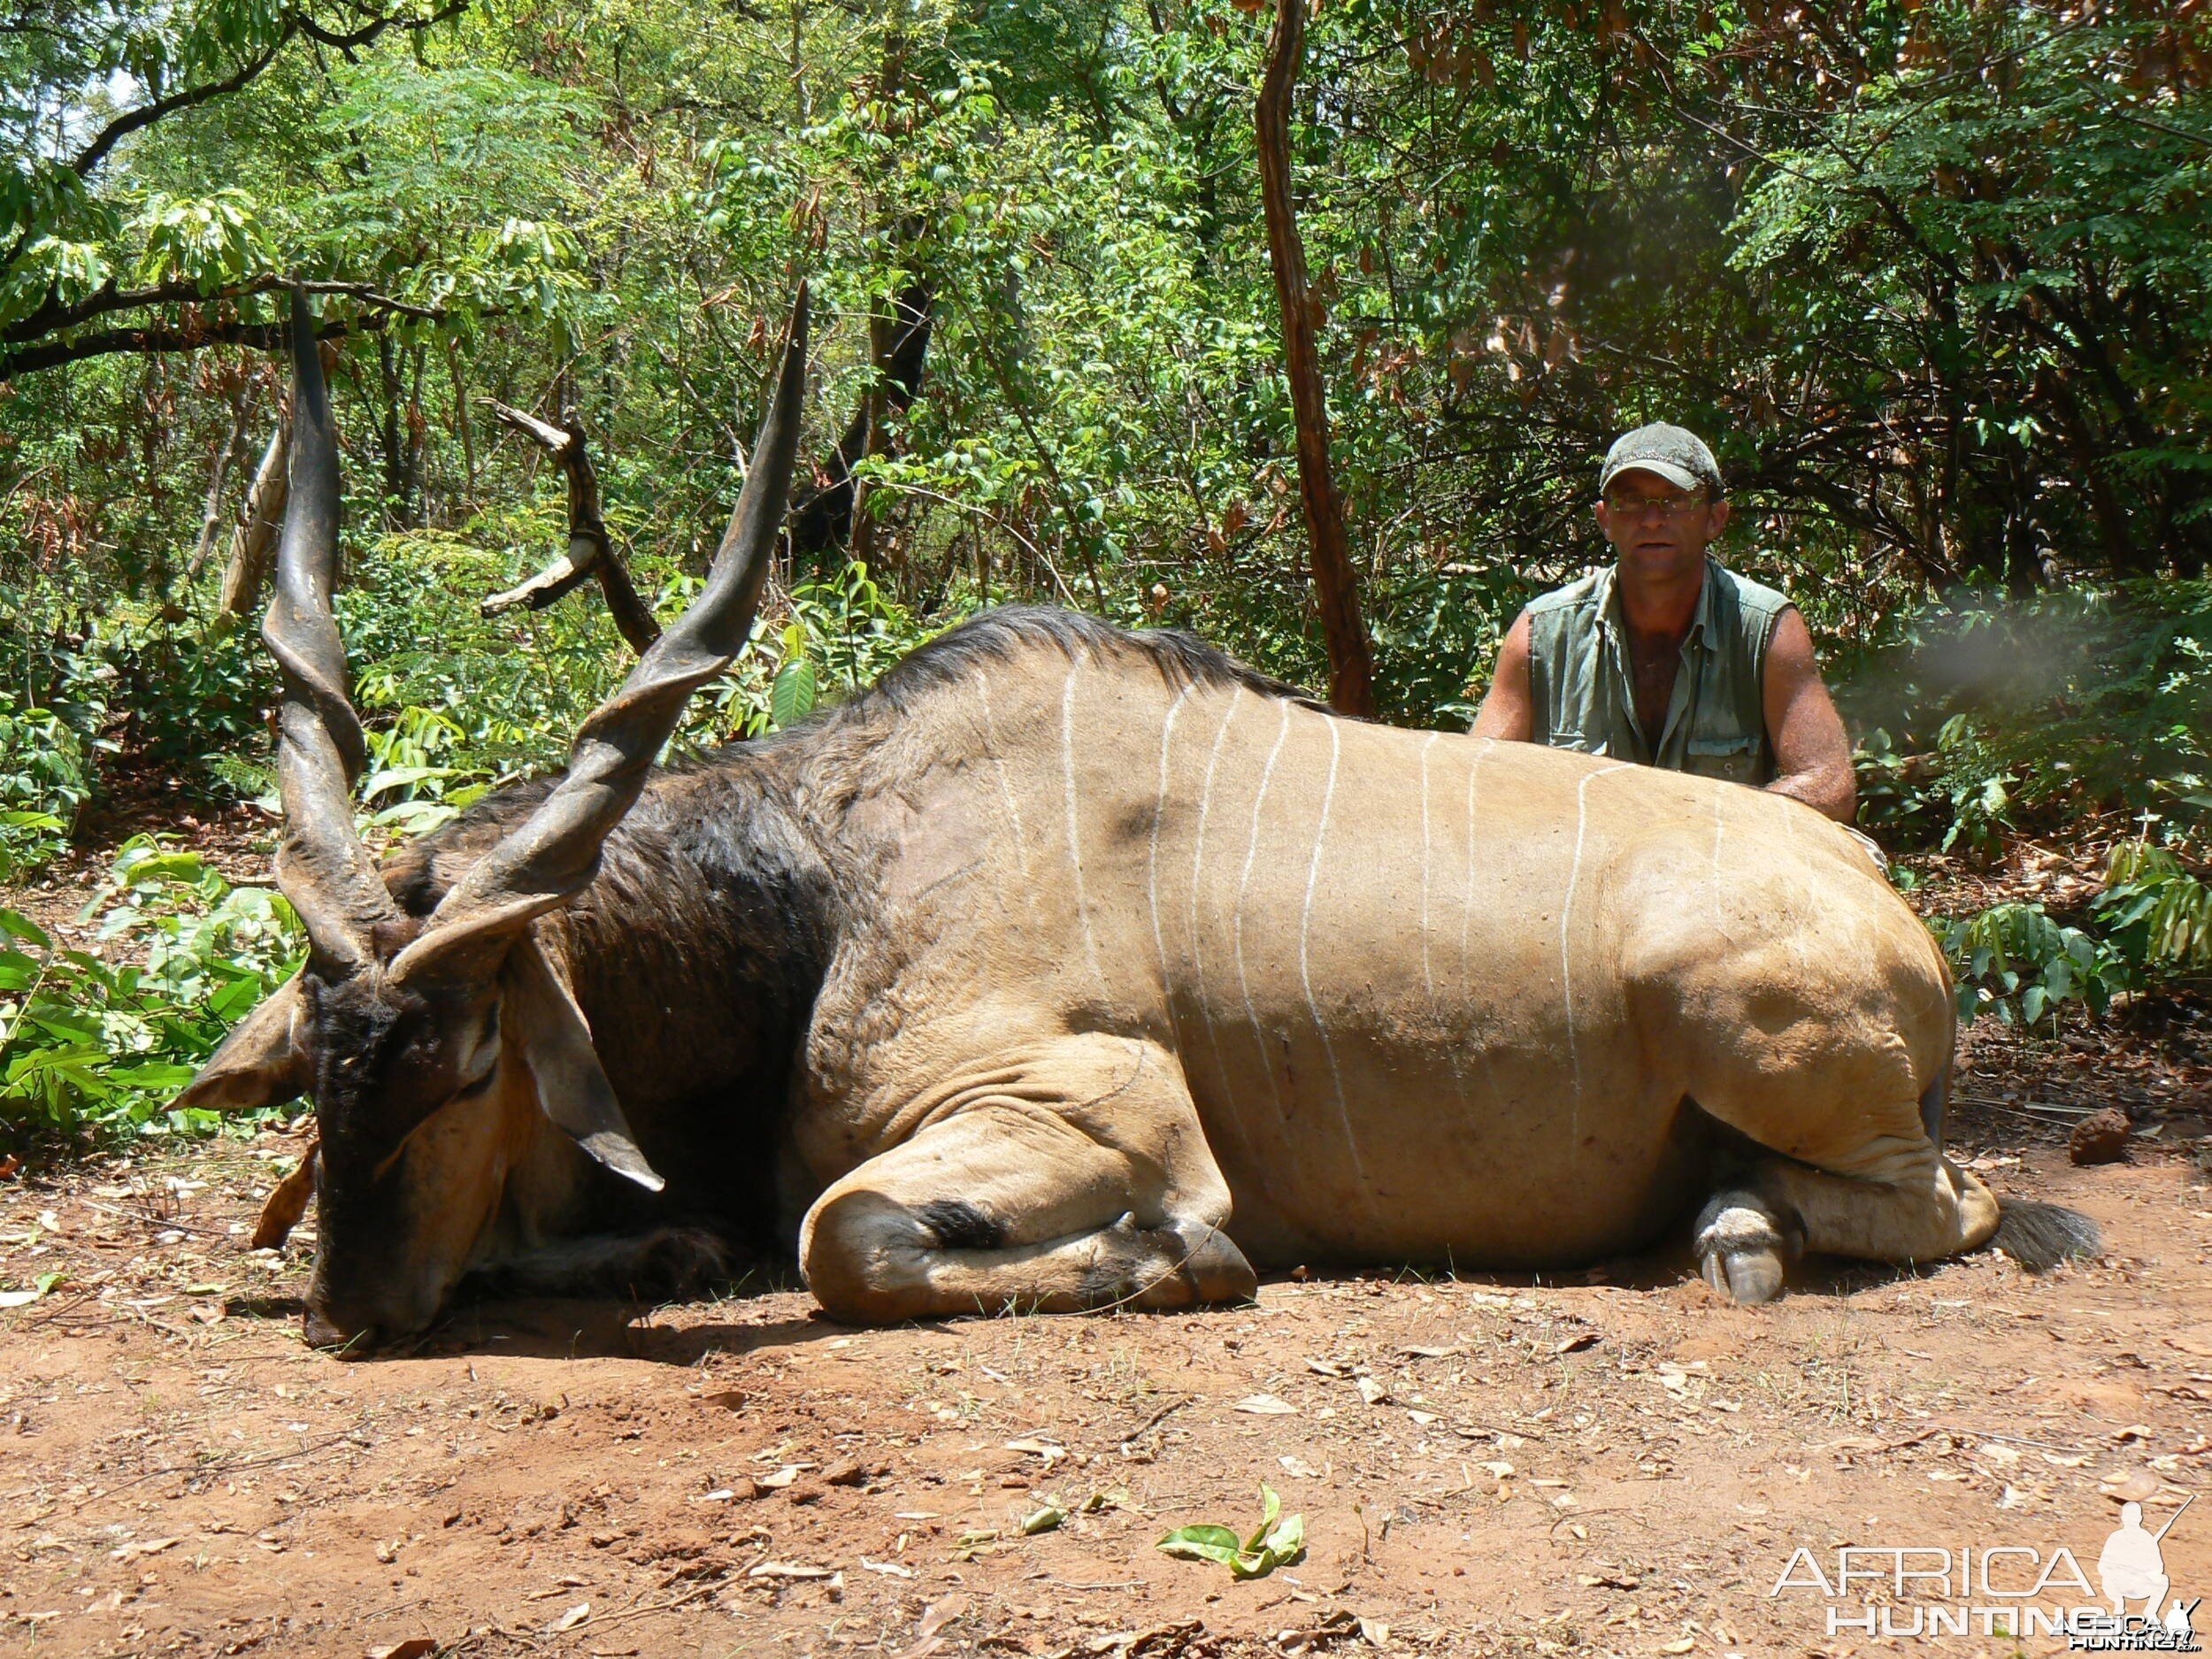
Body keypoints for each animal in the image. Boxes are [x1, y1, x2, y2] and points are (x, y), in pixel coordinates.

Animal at [177, 285, 2088, 1354]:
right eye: (327, 1058)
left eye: (468, 1061)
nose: (348, 1312)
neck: (826, 884)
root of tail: (1873, 889)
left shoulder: (1097, 1109)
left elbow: (846, 1239)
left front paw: (1175, 1258)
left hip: (1747, 1028)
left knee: (1962, 1198)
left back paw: (1744, 1232)